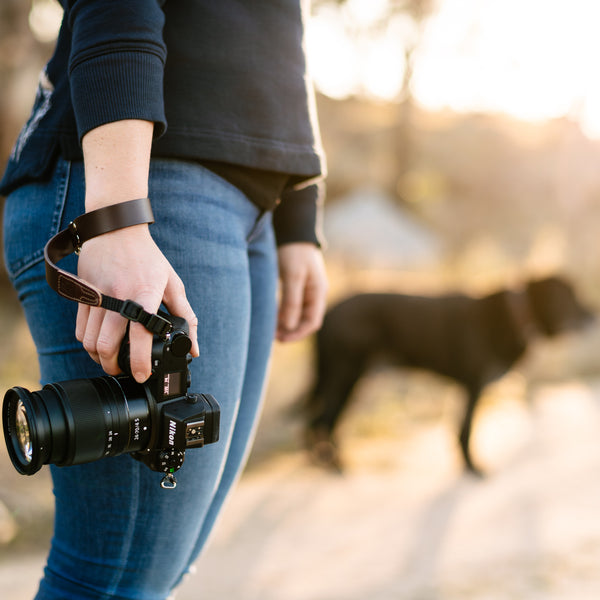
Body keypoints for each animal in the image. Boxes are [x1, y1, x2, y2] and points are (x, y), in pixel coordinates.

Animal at [308, 274, 592, 476]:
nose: (593, 316)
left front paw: (463, 464)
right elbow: (467, 430)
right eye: (571, 296)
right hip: (346, 377)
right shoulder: (474, 386)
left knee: (319, 422)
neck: (515, 314)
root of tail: (329, 312)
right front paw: (472, 467)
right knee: (324, 421)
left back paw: (324, 461)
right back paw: (334, 465)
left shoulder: (463, 388)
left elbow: (458, 429)